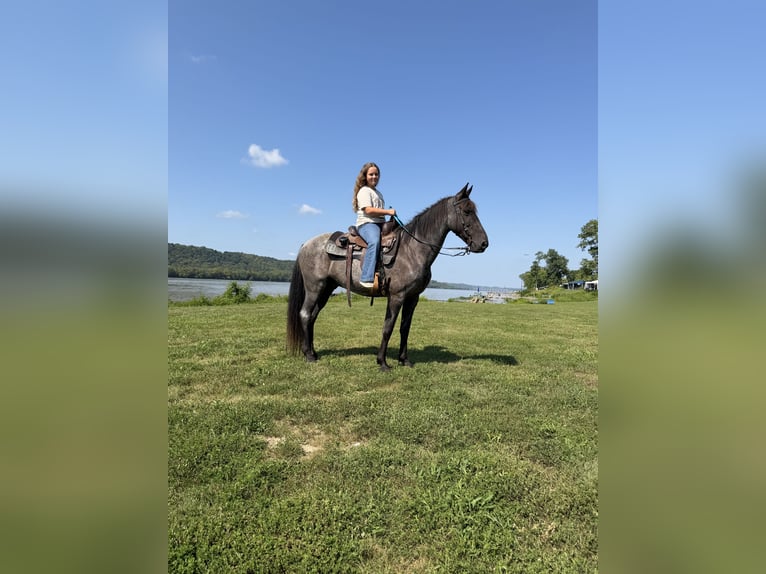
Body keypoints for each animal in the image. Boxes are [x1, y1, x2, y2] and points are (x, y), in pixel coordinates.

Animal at [286, 183, 489, 371]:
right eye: (467, 211)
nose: (484, 243)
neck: (412, 250)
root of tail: (306, 244)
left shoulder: (412, 298)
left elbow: (405, 328)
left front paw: (404, 360)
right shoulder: (397, 296)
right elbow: (388, 327)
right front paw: (382, 362)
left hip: (327, 288)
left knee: (313, 316)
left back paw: (313, 352)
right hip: (314, 288)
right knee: (305, 314)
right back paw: (308, 355)